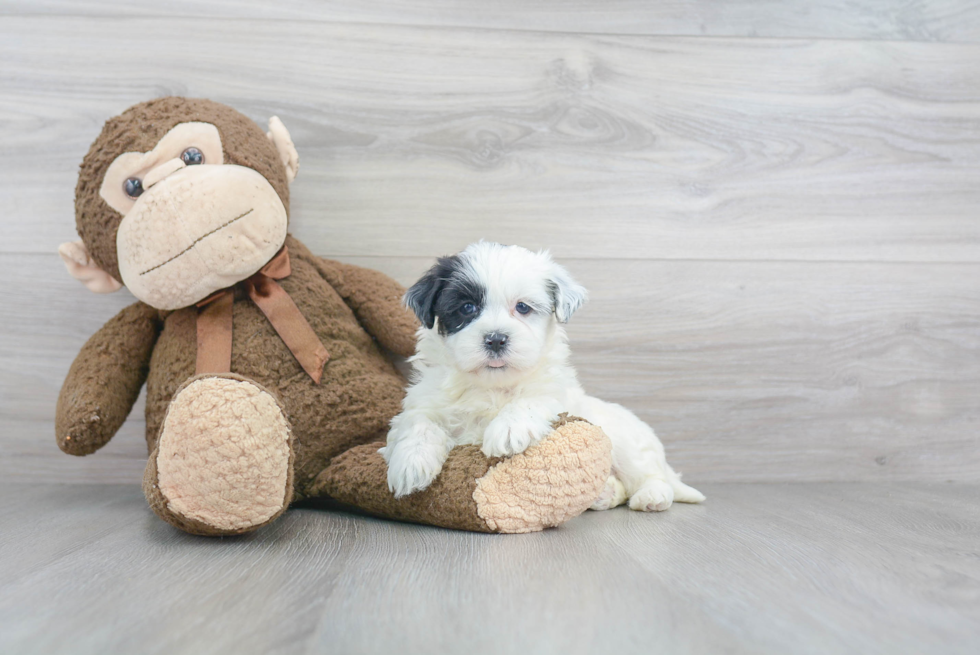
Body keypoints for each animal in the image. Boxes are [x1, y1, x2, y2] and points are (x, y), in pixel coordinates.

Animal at [378, 241, 700, 512]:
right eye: (467, 307)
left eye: (523, 307)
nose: (496, 339)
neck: (490, 387)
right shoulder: (423, 402)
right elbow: (417, 423)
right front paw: (410, 463)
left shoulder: (555, 396)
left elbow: (531, 399)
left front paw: (508, 429)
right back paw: (604, 493)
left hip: (627, 443)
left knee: (650, 475)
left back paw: (651, 496)